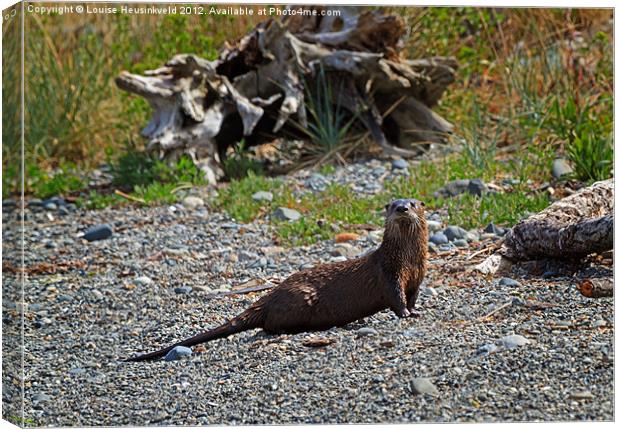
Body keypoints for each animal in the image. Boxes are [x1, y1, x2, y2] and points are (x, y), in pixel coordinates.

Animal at [126, 198, 426, 362]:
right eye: (392, 205)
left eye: (413, 203)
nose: (401, 208)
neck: (408, 261)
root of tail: (271, 295)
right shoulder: (389, 273)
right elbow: (395, 297)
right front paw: (405, 314)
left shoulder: (417, 277)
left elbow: (411, 296)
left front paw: (416, 311)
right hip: (300, 297)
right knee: (269, 324)